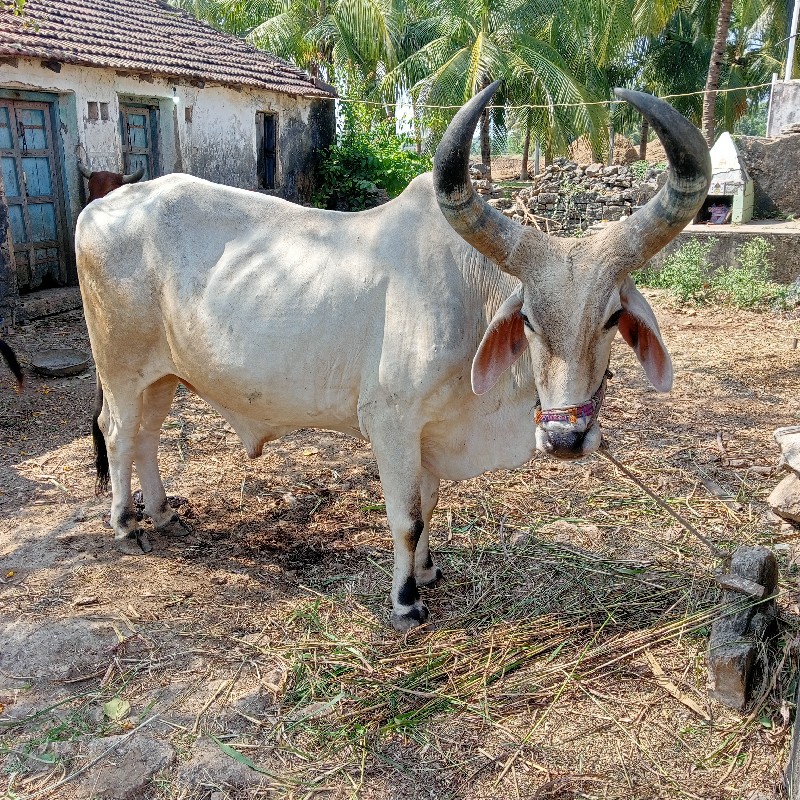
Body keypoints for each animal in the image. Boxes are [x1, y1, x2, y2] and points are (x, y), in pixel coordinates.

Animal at [78, 83, 708, 632]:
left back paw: (160, 511)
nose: (565, 439)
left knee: (146, 436)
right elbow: (406, 518)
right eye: (527, 318)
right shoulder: (392, 423)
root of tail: (101, 205)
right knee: (118, 432)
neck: (468, 298)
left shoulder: (428, 434)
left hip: (162, 375)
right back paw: (125, 524)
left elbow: (429, 504)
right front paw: (406, 600)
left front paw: (428, 572)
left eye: (611, 318)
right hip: (120, 369)